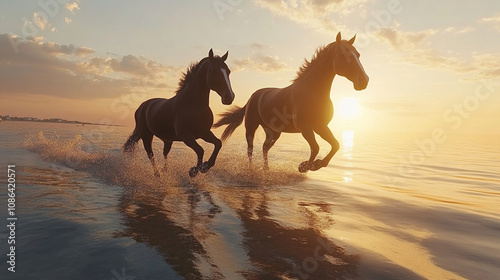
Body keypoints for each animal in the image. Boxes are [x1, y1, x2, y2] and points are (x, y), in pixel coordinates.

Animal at [124, 49, 235, 177]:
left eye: (228, 71)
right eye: (214, 71)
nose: (229, 97)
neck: (193, 105)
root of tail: (141, 106)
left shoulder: (204, 132)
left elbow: (218, 143)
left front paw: (206, 166)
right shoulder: (186, 135)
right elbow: (200, 150)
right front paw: (194, 170)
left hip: (167, 139)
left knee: (165, 153)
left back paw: (165, 171)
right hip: (146, 136)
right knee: (150, 155)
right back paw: (157, 174)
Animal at [214, 32, 368, 173]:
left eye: (358, 54)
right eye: (344, 54)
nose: (364, 80)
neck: (312, 92)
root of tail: (253, 96)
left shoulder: (320, 126)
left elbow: (335, 145)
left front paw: (317, 164)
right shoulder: (305, 127)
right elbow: (316, 147)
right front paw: (305, 166)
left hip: (273, 132)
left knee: (265, 147)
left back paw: (266, 169)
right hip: (251, 126)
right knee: (250, 149)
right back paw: (251, 169)